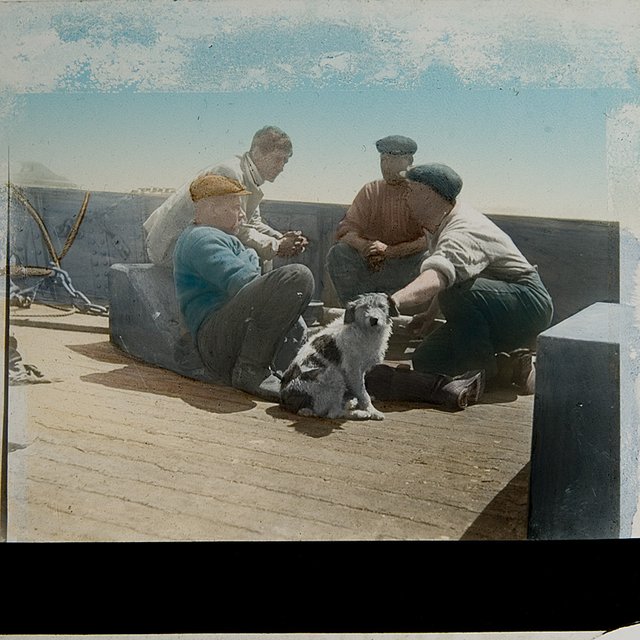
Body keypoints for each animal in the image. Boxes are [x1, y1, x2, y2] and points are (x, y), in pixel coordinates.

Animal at [282, 292, 398, 420]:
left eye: (381, 306)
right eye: (364, 307)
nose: (374, 319)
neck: (364, 331)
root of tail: (288, 404)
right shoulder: (353, 371)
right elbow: (363, 394)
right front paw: (372, 411)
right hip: (334, 375)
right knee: (334, 413)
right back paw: (360, 413)